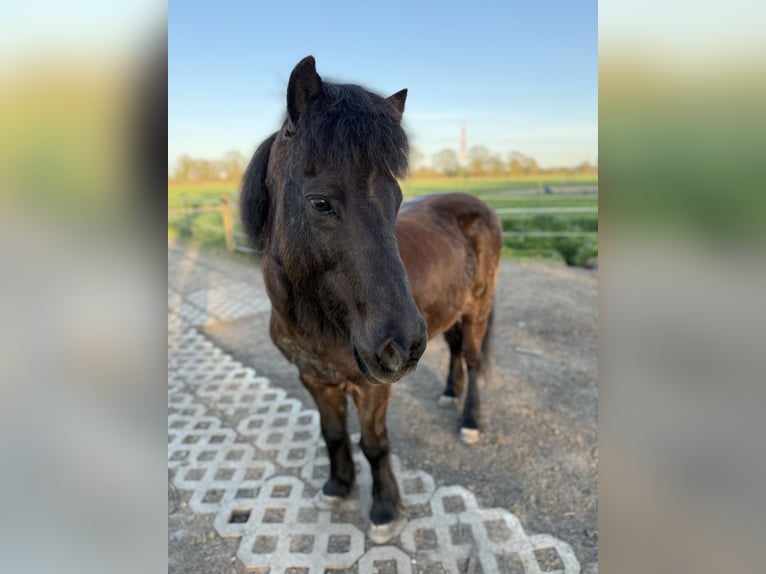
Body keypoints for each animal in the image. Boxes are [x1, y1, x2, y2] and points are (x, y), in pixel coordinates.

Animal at [240, 56, 502, 543]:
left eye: (397, 197)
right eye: (319, 202)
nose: (402, 345)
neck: (318, 320)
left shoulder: (372, 385)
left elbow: (375, 444)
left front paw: (383, 509)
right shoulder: (314, 378)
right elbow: (333, 435)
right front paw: (337, 486)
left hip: (477, 308)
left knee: (475, 359)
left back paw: (470, 421)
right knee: (456, 349)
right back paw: (448, 393)